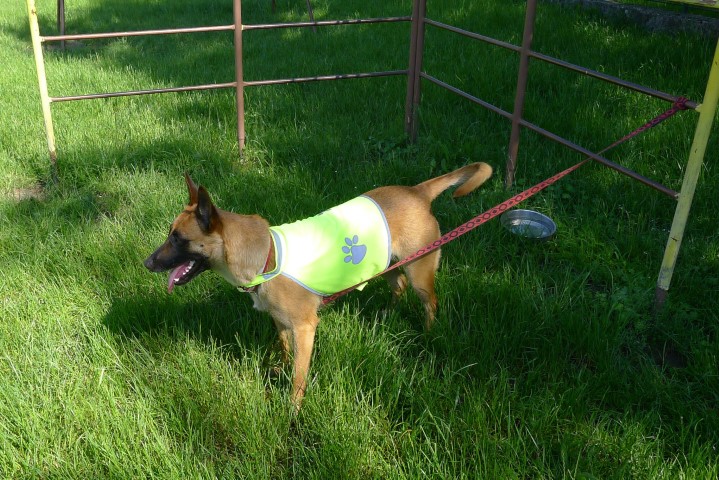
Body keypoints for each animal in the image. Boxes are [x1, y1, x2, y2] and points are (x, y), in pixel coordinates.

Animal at [144, 163, 492, 410]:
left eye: (178, 239)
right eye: (170, 234)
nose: (147, 263)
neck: (266, 256)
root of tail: (416, 191)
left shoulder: (305, 328)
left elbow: (299, 377)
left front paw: (292, 412)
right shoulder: (283, 323)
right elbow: (285, 351)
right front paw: (280, 369)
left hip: (419, 270)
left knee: (429, 301)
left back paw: (428, 333)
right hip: (387, 265)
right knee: (399, 286)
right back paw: (388, 315)